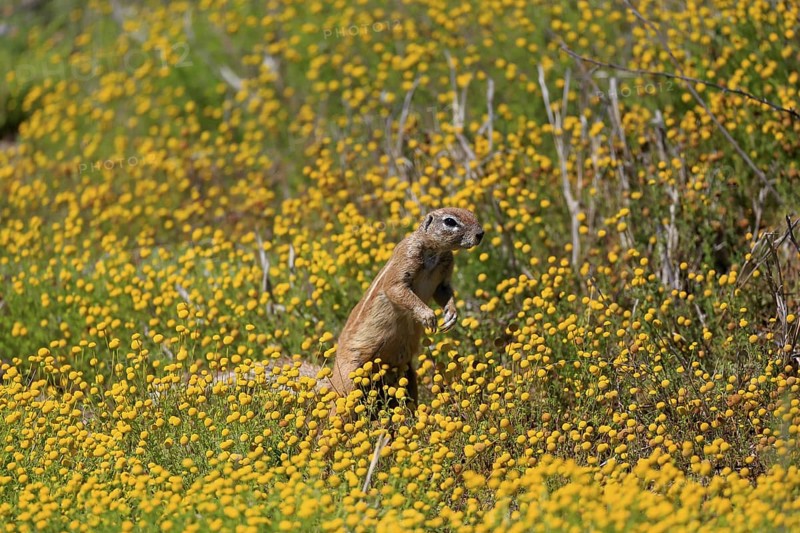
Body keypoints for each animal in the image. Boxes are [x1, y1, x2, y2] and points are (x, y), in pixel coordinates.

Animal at [328, 207, 484, 410]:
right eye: (450, 221)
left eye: (471, 213)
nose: (481, 233)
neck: (436, 253)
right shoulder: (406, 257)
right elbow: (396, 288)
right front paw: (428, 316)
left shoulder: (445, 271)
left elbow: (444, 291)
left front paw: (451, 316)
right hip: (348, 378)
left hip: (408, 373)